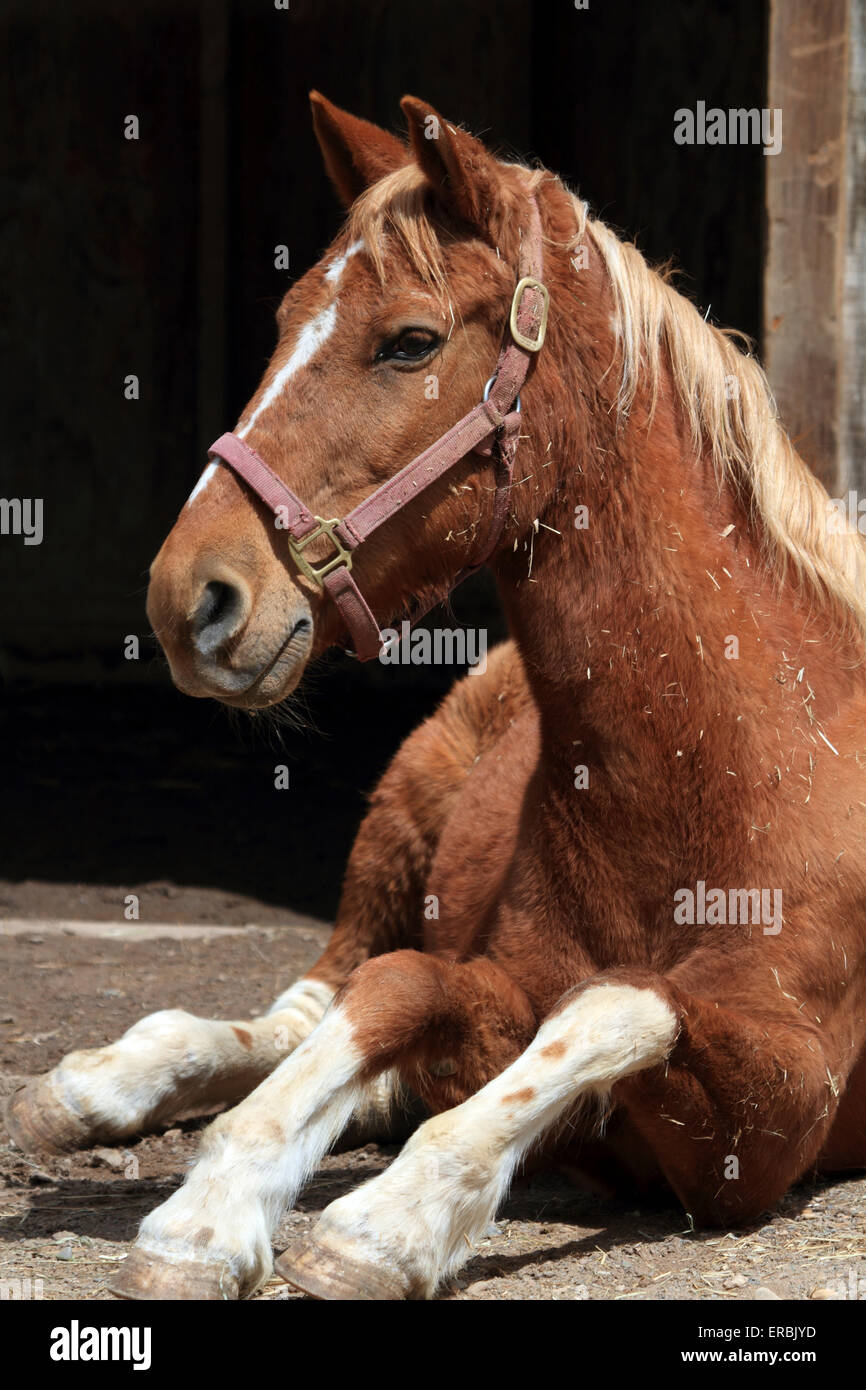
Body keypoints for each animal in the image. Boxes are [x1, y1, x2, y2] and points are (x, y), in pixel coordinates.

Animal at [8, 97, 866, 1301]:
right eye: (285, 321)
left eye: (409, 342)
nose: (189, 599)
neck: (744, 764)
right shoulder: (495, 986)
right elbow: (399, 986)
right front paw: (215, 1211)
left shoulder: (778, 1113)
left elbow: (614, 1003)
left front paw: (390, 1218)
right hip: (397, 818)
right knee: (308, 999)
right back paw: (104, 1081)